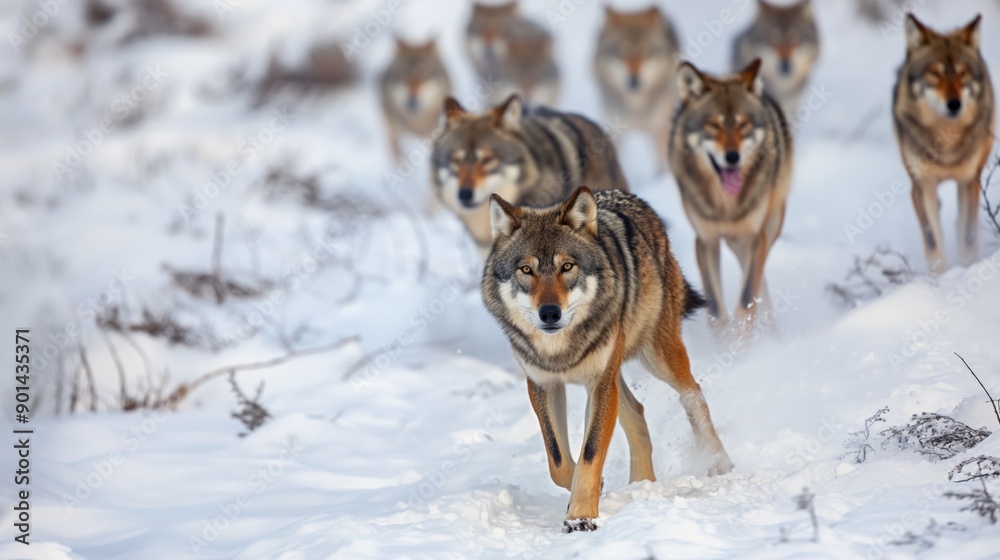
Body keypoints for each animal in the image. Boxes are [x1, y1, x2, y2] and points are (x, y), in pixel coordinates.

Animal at [482, 186, 733, 532]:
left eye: (567, 267)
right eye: (526, 270)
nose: (550, 313)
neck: (561, 352)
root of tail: (634, 200)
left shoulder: (600, 383)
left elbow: (590, 452)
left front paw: (581, 515)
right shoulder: (543, 385)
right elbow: (558, 460)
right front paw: (587, 492)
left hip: (657, 358)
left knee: (693, 395)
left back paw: (718, 462)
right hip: (616, 377)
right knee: (637, 412)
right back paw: (642, 485)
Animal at [593, 6, 680, 171]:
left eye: (646, 53)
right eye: (621, 53)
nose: (634, 80)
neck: (636, 107)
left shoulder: (660, 130)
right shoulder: (616, 132)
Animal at [669, 59, 793, 332]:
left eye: (743, 124)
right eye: (713, 125)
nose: (732, 157)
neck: (726, 205)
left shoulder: (755, 238)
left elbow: (746, 301)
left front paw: (740, 342)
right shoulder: (705, 241)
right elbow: (715, 309)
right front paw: (725, 339)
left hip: (760, 235)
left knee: (759, 283)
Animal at [893, 14, 994, 273]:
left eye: (963, 73)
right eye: (935, 73)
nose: (954, 104)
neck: (946, 144)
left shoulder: (969, 181)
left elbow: (968, 237)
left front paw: (967, 267)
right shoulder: (921, 185)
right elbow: (933, 243)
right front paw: (939, 277)